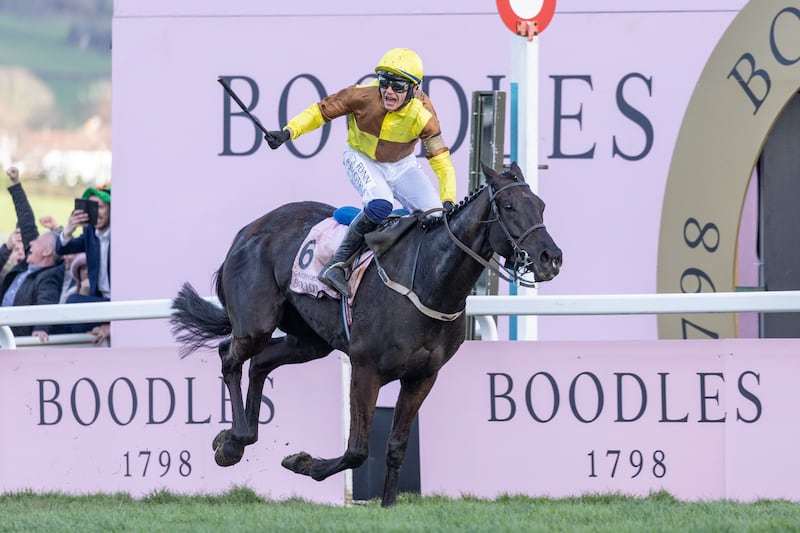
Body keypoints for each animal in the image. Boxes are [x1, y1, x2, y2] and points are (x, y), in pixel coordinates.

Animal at [170, 162, 564, 508]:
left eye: (541, 205)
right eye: (509, 206)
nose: (551, 257)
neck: (429, 281)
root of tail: (250, 229)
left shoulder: (423, 376)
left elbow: (396, 446)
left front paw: (388, 506)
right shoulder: (365, 368)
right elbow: (357, 449)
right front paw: (302, 462)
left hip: (310, 341)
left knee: (260, 363)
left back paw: (238, 436)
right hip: (256, 324)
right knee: (230, 357)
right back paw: (233, 443)